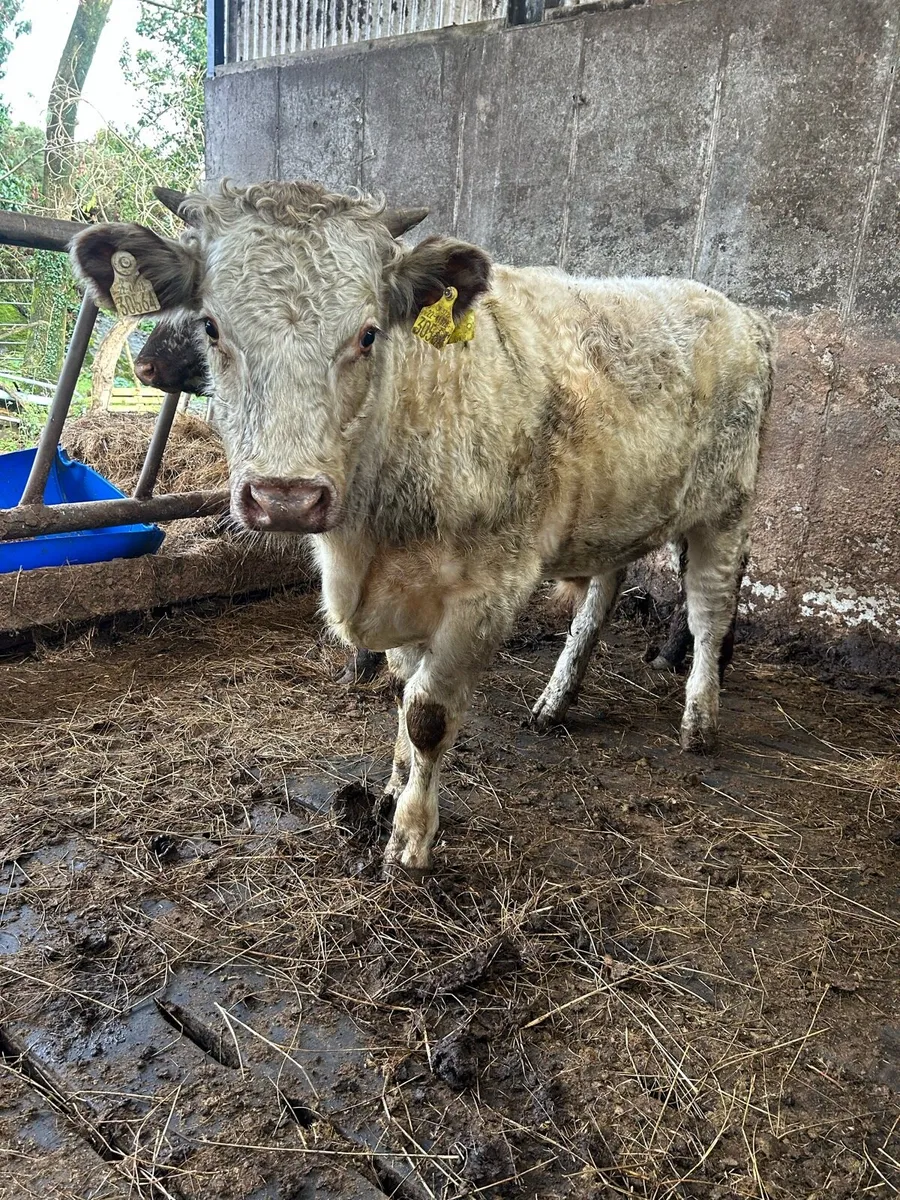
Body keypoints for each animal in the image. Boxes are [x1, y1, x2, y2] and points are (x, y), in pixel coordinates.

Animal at [71, 180, 775, 875]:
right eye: (212, 326)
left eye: (368, 334)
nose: (286, 498)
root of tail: (740, 312)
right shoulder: (402, 596)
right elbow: (403, 691)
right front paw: (389, 787)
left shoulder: (486, 594)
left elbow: (428, 714)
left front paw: (411, 836)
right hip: (616, 511)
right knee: (601, 596)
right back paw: (557, 699)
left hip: (728, 509)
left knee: (709, 614)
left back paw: (700, 719)